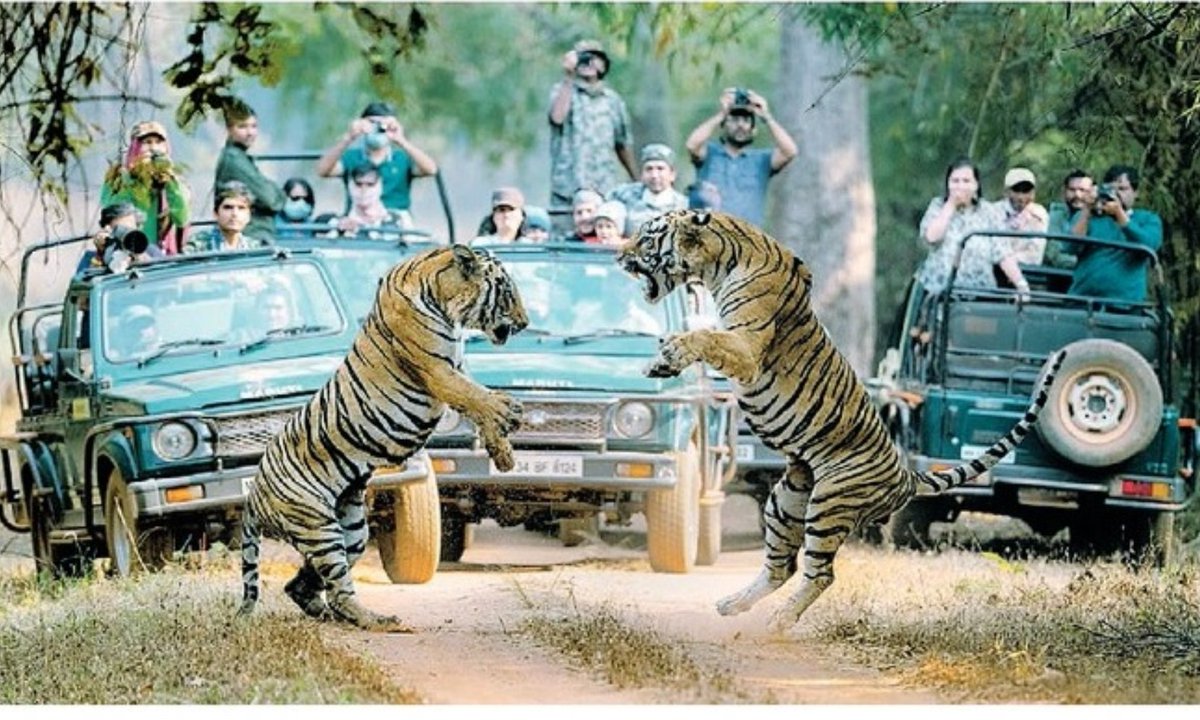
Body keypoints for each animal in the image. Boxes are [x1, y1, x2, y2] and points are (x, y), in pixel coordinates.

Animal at [239, 244, 528, 632]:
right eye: (507, 291)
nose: (525, 322)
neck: (442, 294)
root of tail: (253, 496)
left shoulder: (455, 368)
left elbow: (478, 405)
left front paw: (504, 454)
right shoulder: (438, 371)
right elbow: (476, 396)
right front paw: (509, 412)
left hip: (352, 531)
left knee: (301, 585)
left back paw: (327, 614)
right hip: (319, 527)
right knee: (340, 588)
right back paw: (381, 621)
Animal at [616, 209, 1065, 632]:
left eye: (646, 237)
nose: (619, 254)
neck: (717, 261)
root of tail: (905, 475)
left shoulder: (746, 349)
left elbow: (706, 336)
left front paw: (670, 350)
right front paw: (659, 362)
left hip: (829, 503)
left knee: (821, 573)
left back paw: (779, 621)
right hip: (785, 502)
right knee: (782, 566)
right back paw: (732, 605)